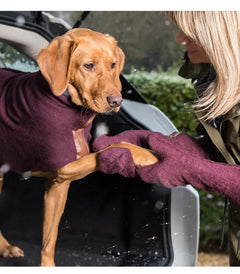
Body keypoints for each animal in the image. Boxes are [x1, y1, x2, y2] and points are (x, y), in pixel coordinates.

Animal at [0, 27, 158, 266]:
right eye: (88, 65)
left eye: (113, 65)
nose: (117, 101)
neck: (69, 110)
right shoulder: (64, 167)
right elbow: (116, 145)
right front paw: (147, 153)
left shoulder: (59, 185)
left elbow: (50, 238)